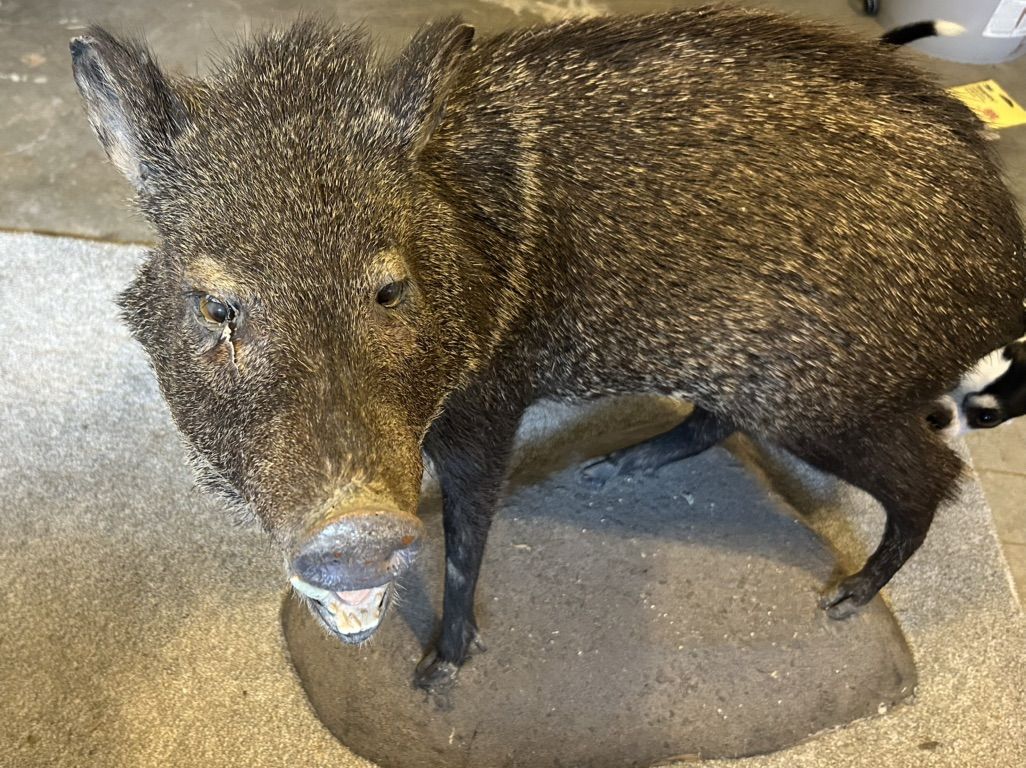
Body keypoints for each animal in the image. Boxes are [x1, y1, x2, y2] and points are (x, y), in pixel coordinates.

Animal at [70, 6, 1025, 690]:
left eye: (391, 288)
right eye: (215, 306)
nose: (356, 531)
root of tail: (1009, 264)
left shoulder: (491, 401)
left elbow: (466, 539)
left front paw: (442, 669)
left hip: (830, 402)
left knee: (932, 478)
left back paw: (846, 599)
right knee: (720, 422)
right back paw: (616, 469)